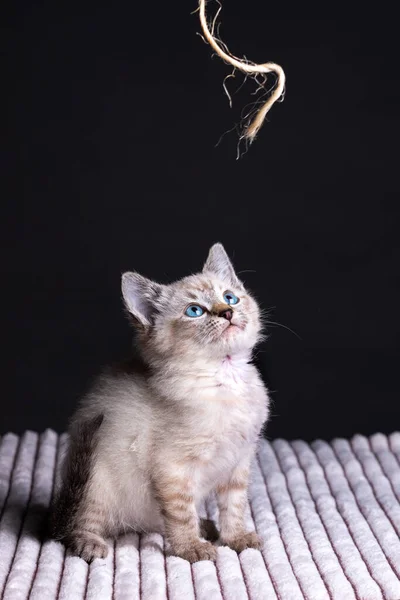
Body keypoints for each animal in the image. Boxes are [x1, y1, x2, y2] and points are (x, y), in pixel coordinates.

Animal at [50, 243, 268, 564]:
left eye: (230, 297)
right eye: (194, 311)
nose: (227, 312)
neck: (225, 379)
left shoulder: (239, 460)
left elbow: (234, 506)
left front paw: (236, 538)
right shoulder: (173, 469)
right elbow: (180, 514)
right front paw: (190, 548)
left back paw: (206, 526)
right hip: (96, 480)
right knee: (80, 523)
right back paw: (88, 542)